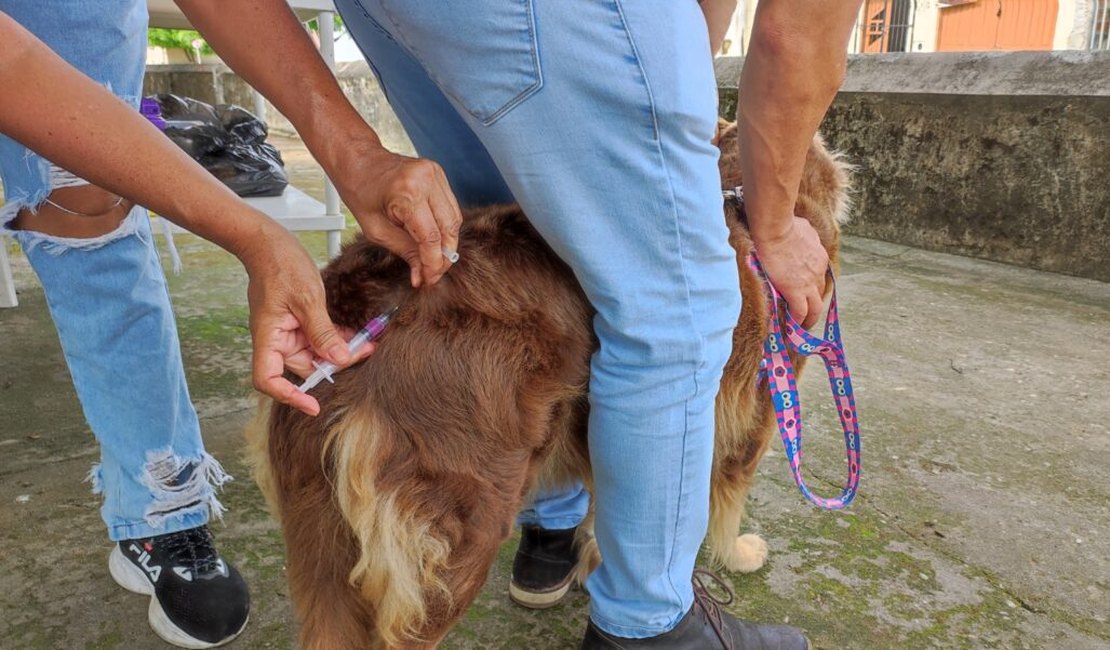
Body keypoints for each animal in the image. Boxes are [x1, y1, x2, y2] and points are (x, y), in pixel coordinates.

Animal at [245, 122, 848, 647]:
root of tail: (356, 321)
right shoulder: (761, 406)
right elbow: (725, 493)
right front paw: (739, 552)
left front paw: (597, 566)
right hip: (463, 524)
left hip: (320, 535)